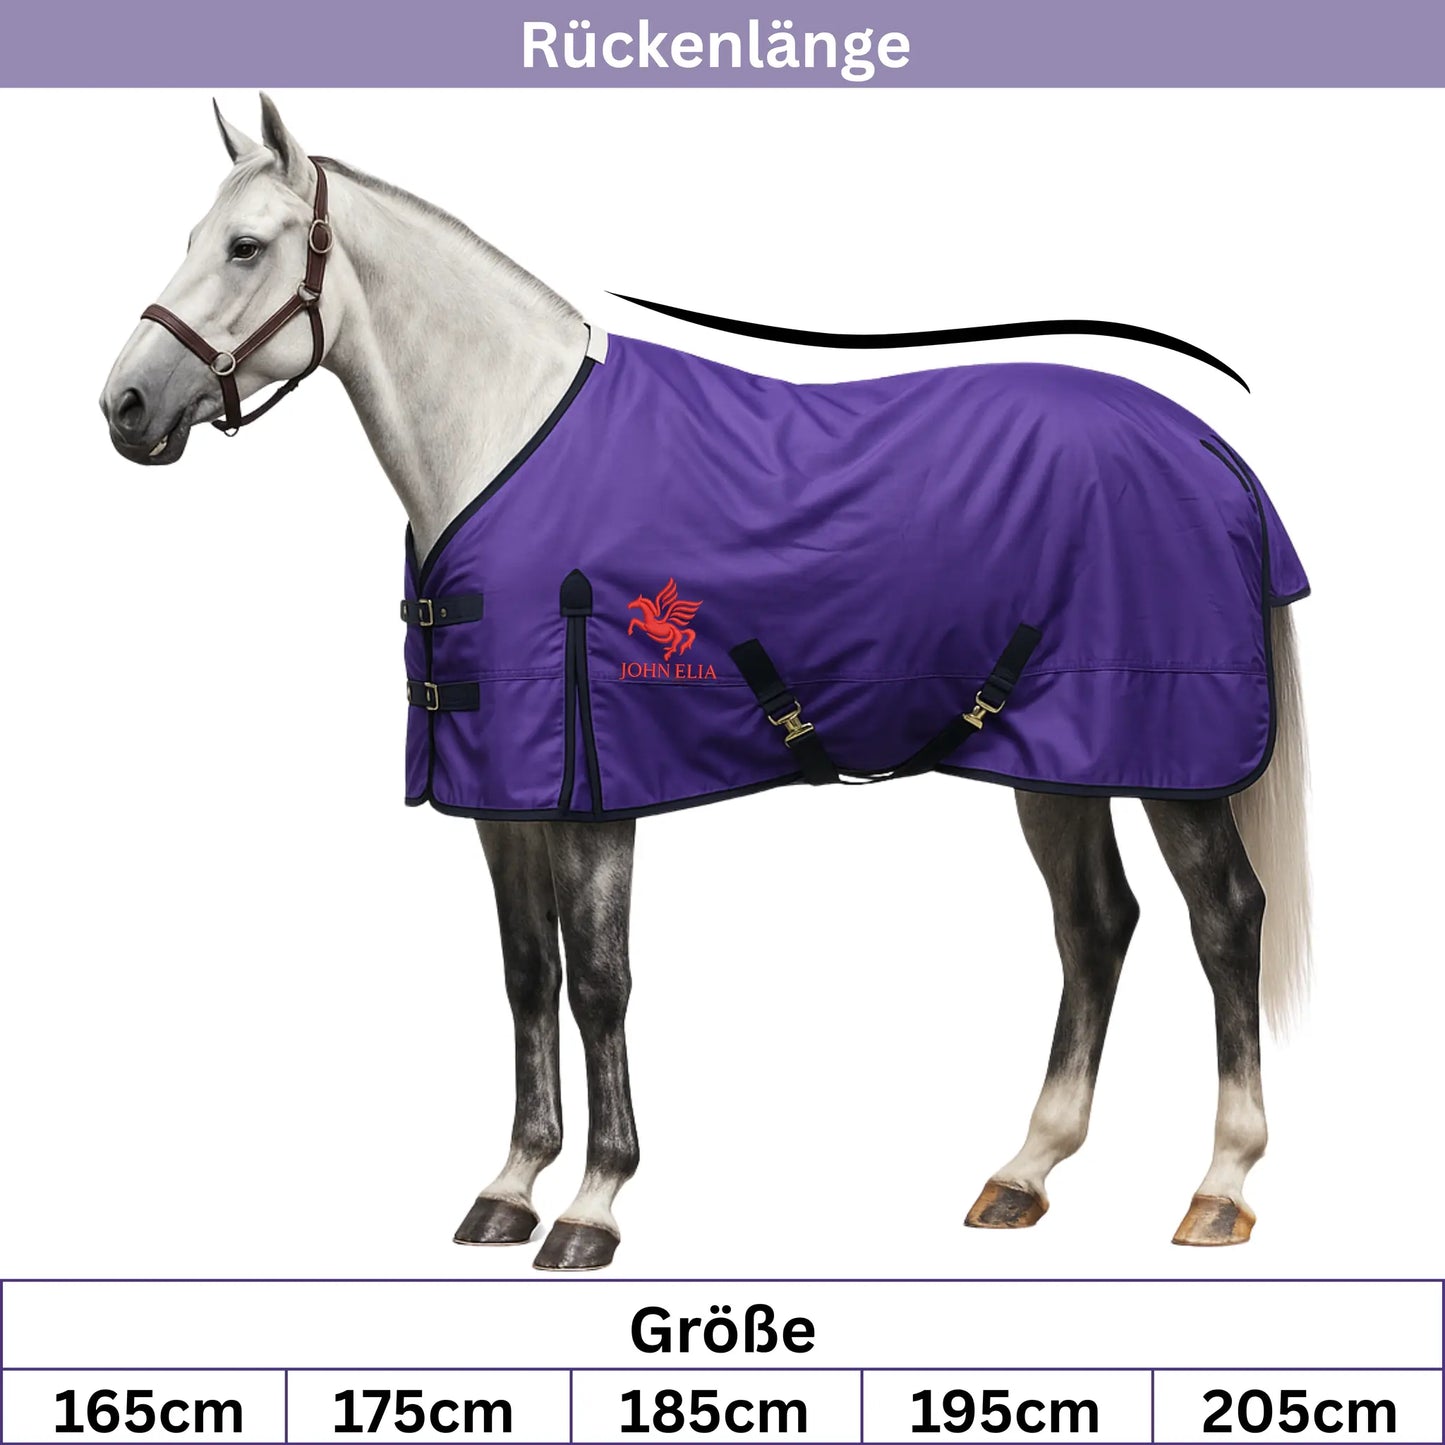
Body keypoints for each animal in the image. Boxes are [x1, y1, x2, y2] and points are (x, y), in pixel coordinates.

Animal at [100, 96, 1310, 1272]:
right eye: (193, 237)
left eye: (245, 246)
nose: (124, 405)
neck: (505, 438)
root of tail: (1211, 451)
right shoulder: (502, 796)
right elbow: (527, 974)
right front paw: (508, 1188)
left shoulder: (595, 788)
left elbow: (599, 979)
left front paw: (593, 1205)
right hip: (1054, 757)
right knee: (1094, 922)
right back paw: (1024, 1171)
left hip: (1172, 756)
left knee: (1223, 918)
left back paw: (1218, 1186)